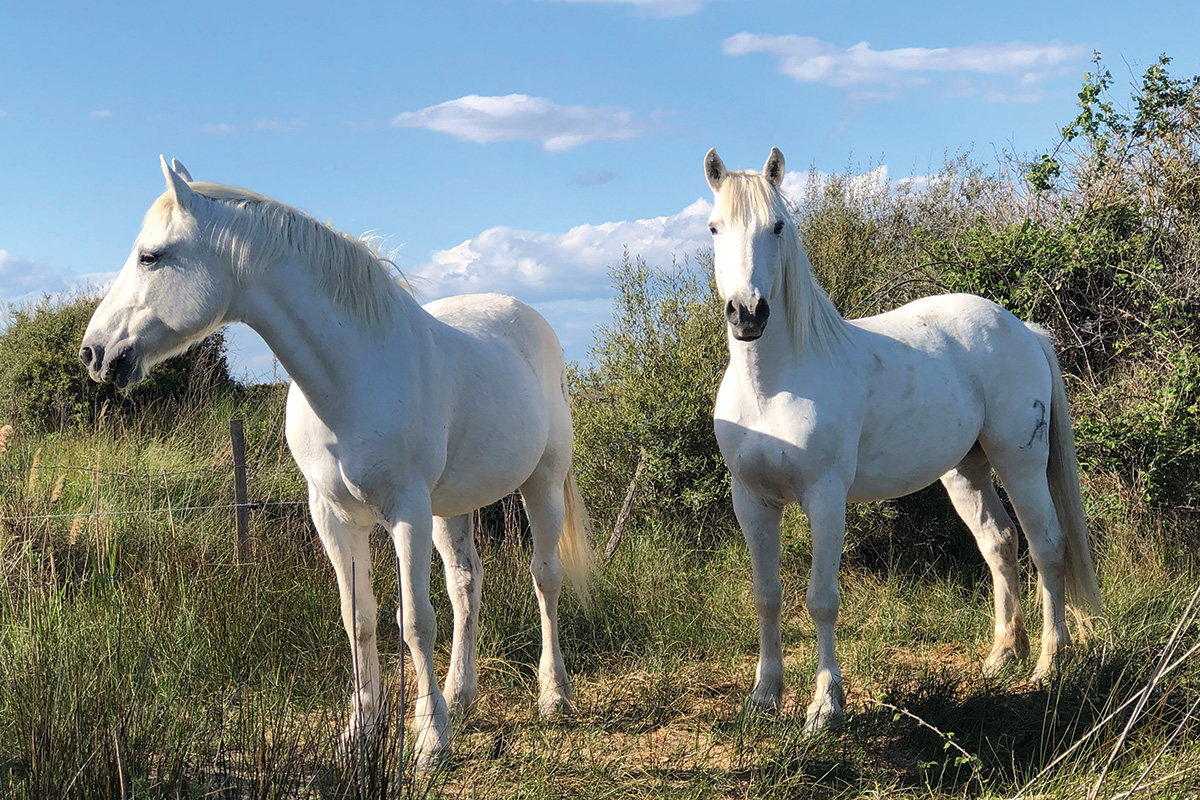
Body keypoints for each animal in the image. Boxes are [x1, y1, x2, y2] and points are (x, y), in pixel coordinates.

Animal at [81, 158, 590, 767]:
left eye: (150, 256)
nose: (94, 353)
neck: (352, 375)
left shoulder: (406, 512)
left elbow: (414, 622)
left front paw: (429, 742)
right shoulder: (333, 516)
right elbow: (359, 618)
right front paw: (361, 730)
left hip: (542, 483)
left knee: (545, 578)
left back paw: (553, 696)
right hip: (452, 506)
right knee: (466, 584)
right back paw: (461, 696)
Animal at [700, 145, 1104, 734]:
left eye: (777, 226)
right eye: (714, 227)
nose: (747, 313)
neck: (773, 386)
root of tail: (1023, 330)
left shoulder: (825, 499)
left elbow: (821, 600)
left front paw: (825, 707)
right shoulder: (752, 501)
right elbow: (767, 597)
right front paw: (764, 697)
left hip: (1021, 464)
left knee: (1047, 546)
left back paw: (1049, 664)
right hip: (966, 471)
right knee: (1000, 544)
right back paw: (1002, 656)